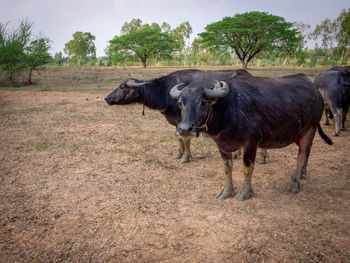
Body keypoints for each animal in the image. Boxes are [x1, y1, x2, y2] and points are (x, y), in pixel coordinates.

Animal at [104, 69, 249, 162]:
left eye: (122, 87)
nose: (106, 98)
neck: (165, 91)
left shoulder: (186, 122)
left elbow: (186, 138)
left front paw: (185, 158)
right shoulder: (177, 122)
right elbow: (179, 138)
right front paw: (178, 154)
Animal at [171, 73, 332, 201]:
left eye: (203, 102)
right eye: (180, 102)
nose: (184, 129)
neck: (229, 110)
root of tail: (316, 92)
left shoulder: (250, 144)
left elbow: (247, 168)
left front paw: (245, 192)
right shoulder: (222, 145)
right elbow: (227, 167)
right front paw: (227, 191)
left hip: (310, 130)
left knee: (301, 156)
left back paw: (294, 183)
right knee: (307, 153)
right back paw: (303, 173)